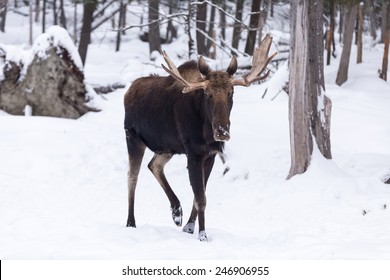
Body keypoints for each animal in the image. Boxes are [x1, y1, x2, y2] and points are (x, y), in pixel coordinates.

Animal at [123, 34, 276, 241]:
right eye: (208, 94)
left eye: (231, 93)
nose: (222, 132)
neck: (206, 132)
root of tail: (128, 91)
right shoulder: (194, 153)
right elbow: (201, 198)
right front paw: (202, 234)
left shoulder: (210, 155)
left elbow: (199, 195)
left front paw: (189, 226)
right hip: (133, 138)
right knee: (132, 177)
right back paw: (131, 222)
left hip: (167, 148)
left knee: (154, 165)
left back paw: (176, 211)